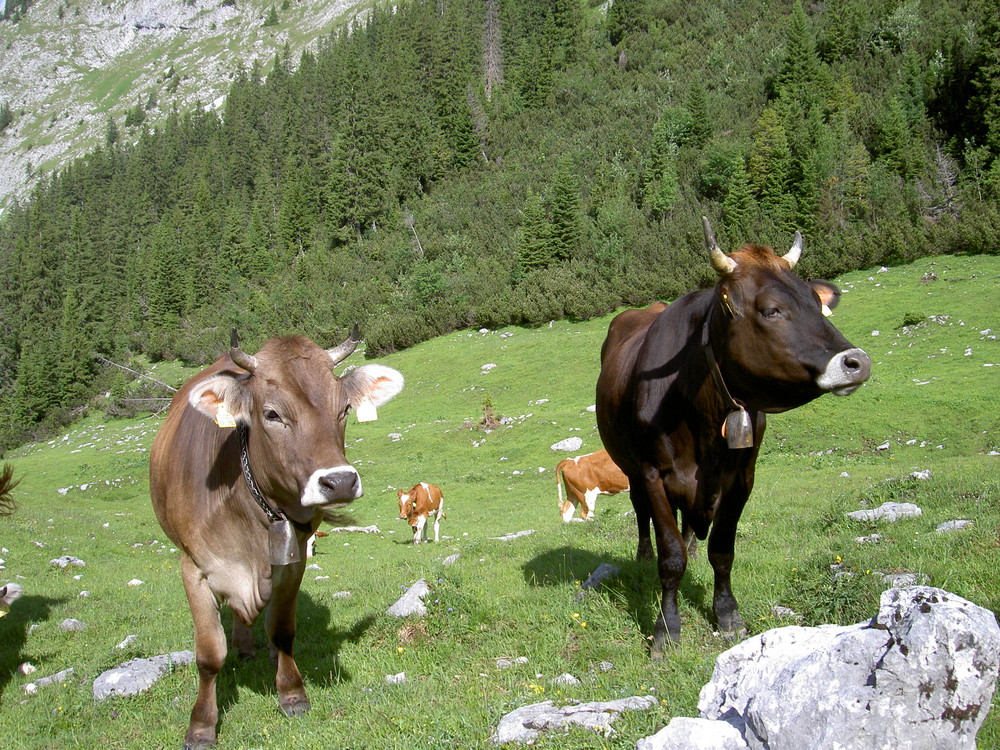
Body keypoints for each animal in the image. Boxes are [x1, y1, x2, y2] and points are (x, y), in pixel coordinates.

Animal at [150, 330, 400, 750]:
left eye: (344, 409)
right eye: (271, 414)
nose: (339, 482)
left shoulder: (294, 561)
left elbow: (282, 630)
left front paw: (292, 693)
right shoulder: (193, 569)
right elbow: (208, 655)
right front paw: (201, 726)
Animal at [596, 217, 872, 656]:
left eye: (818, 304)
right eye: (771, 310)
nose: (857, 362)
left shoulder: (742, 477)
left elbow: (722, 549)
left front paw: (727, 614)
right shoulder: (654, 473)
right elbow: (669, 558)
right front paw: (666, 629)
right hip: (630, 468)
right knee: (642, 513)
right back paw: (642, 553)